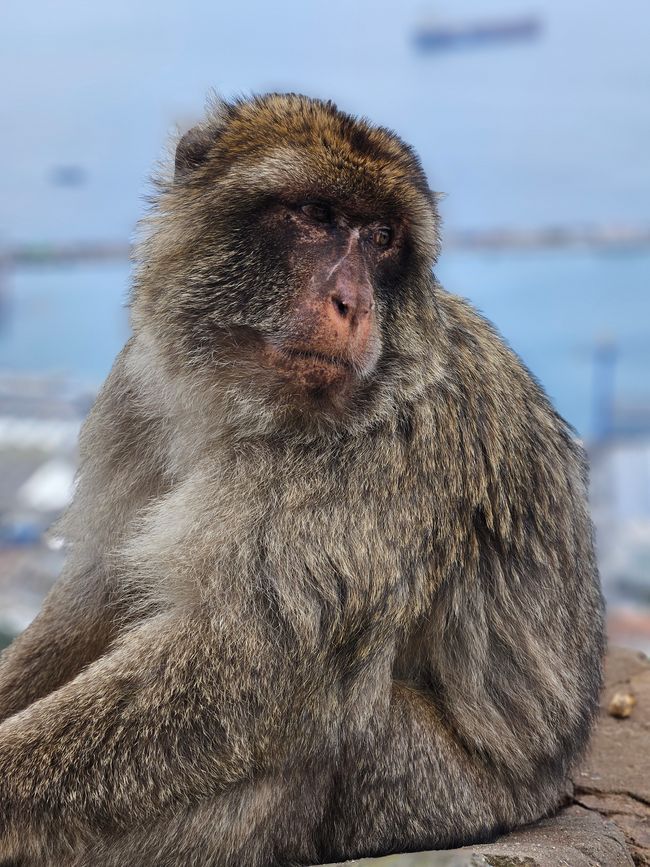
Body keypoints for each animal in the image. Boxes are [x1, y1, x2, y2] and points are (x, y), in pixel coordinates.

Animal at [0, 93, 604, 867]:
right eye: (317, 215)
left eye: (381, 236)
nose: (355, 303)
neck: (237, 399)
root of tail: (551, 785)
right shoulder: (134, 393)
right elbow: (98, 597)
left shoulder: (381, 453)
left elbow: (250, 662)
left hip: (433, 795)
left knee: (311, 729)